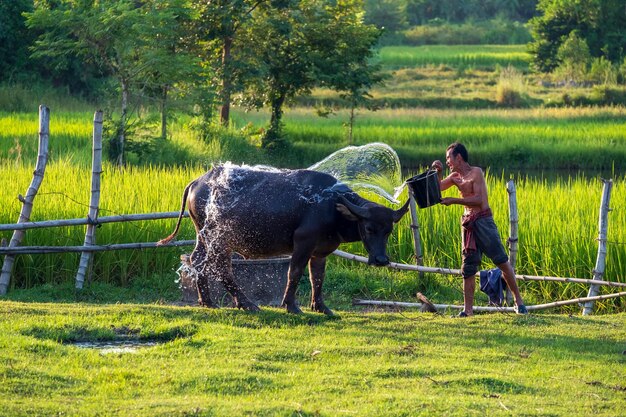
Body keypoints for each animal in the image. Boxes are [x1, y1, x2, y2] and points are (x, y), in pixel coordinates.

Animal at [158, 164, 408, 314]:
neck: (331, 207)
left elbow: (317, 277)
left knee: (199, 261)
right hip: (217, 237)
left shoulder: (321, 251)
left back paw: (208, 301)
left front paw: (321, 307)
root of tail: (197, 182)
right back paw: (247, 303)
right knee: (219, 266)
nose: (381, 260)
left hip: (205, 236)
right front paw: (291, 306)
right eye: (368, 228)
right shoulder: (303, 243)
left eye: (388, 230)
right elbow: (294, 273)